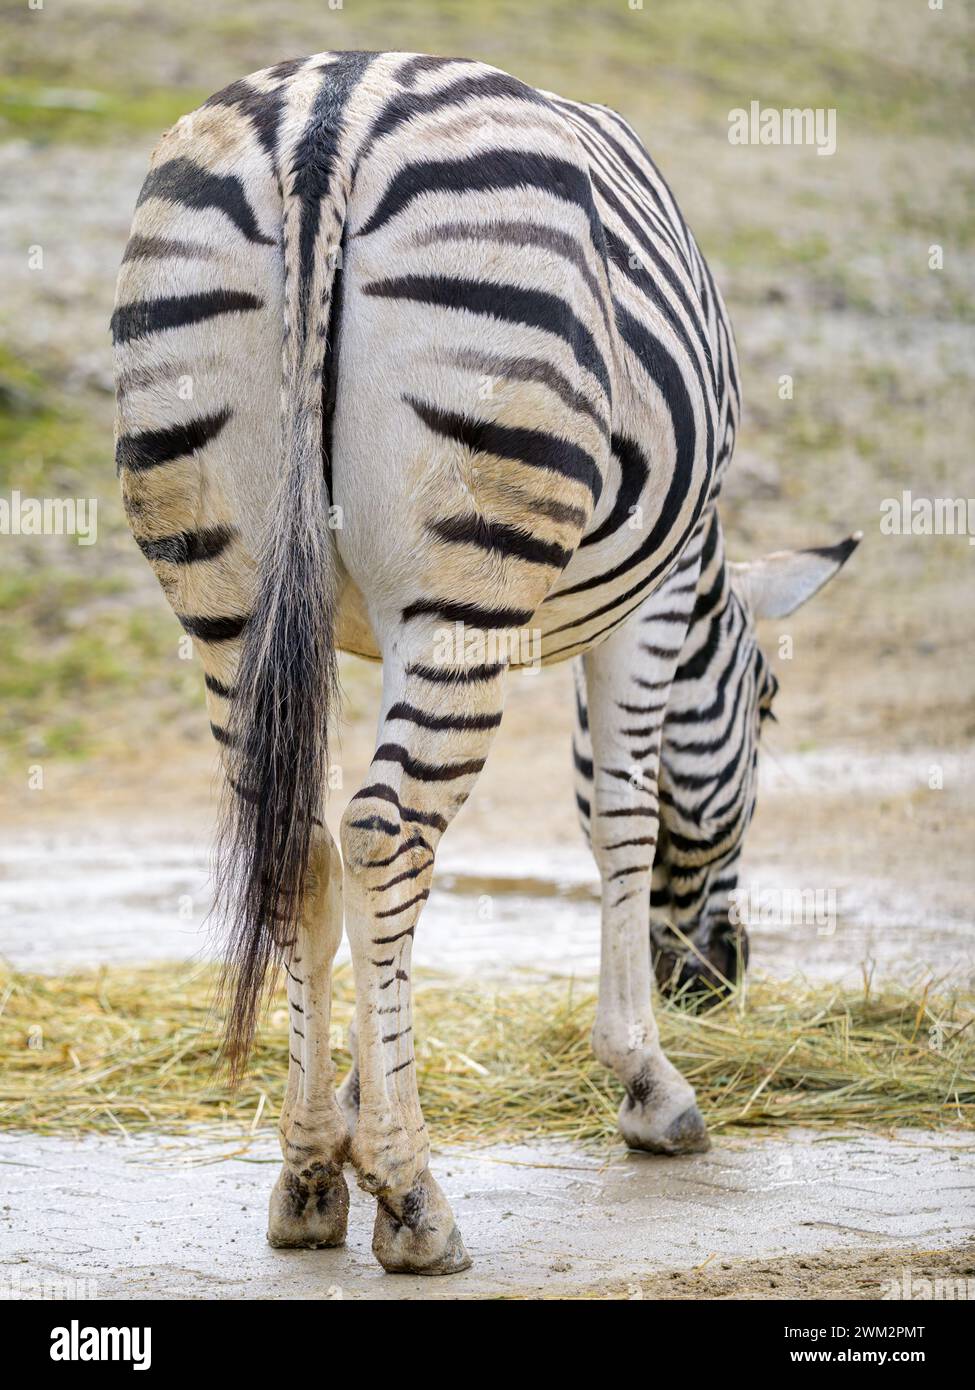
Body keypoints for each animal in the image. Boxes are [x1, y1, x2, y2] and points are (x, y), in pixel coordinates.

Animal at [114, 51, 856, 1273]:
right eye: (770, 708)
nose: (721, 976)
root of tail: (326, 120)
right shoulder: (652, 602)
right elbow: (621, 817)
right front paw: (647, 1081)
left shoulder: (356, 630)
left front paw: (361, 1104)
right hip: (475, 550)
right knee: (379, 833)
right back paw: (416, 1202)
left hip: (226, 586)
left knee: (310, 844)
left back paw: (310, 1176)